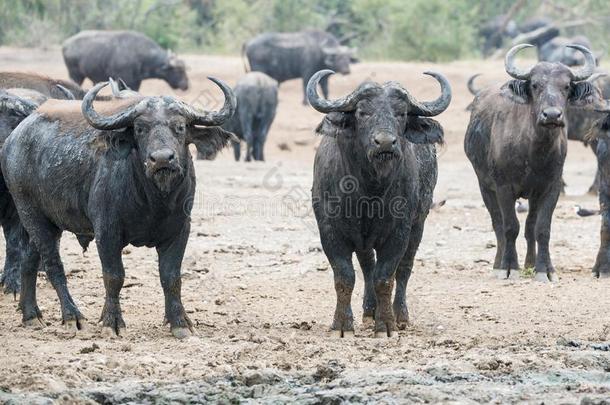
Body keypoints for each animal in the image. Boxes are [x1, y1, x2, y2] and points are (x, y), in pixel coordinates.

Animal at [0, 77, 235, 336]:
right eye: (140, 128)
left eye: (180, 127)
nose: (162, 159)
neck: (154, 201)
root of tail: (13, 140)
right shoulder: (107, 233)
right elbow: (114, 276)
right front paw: (111, 322)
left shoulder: (179, 231)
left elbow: (171, 277)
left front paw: (180, 322)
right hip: (31, 214)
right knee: (52, 264)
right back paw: (72, 316)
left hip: (42, 221)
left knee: (29, 259)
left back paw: (30, 314)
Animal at [306, 68, 448, 336]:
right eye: (362, 112)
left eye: (401, 113)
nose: (384, 143)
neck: (369, 191)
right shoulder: (329, 230)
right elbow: (345, 276)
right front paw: (342, 324)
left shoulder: (398, 232)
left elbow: (385, 277)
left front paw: (386, 324)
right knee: (366, 265)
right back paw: (368, 312)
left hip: (418, 223)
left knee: (404, 268)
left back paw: (400, 315)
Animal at [464, 41, 596, 280]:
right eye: (535, 85)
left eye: (566, 86)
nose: (551, 115)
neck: (534, 152)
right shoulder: (504, 187)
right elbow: (510, 227)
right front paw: (509, 267)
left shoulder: (550, 188)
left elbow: (541, 229)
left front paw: (545, 269)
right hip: (484, 186)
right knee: (498, 224)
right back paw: (498, 264)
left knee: (529, 227)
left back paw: (530, 263)